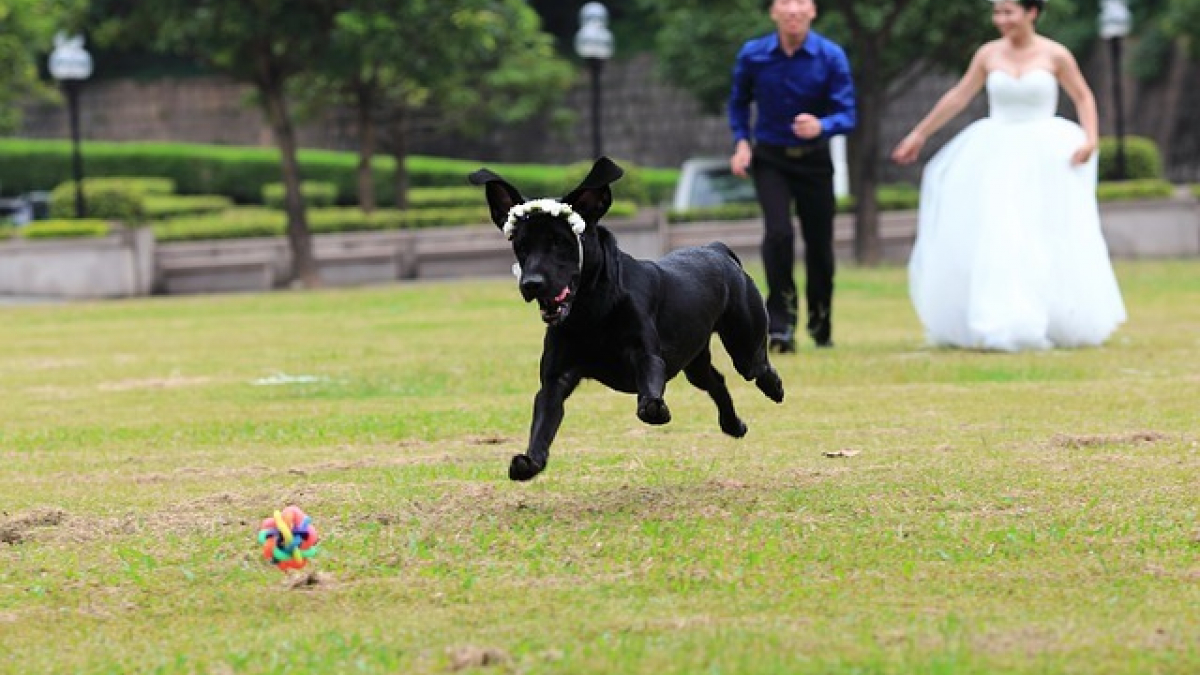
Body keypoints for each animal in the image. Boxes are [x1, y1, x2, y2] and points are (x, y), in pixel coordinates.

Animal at [468, 154, 787, 480]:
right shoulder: (556, 379)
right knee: (716, 381)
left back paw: (773, 387)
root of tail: (717, 249)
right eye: (520, 246)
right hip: (694, 360)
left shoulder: (646, 353)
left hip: (743, 342)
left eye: (560, 241)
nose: (531, 283)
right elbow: (543, 420)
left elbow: (649, 381)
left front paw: (653, 407)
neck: (591, 313)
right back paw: (733, 425)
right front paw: (530, 461)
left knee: (756, 366)